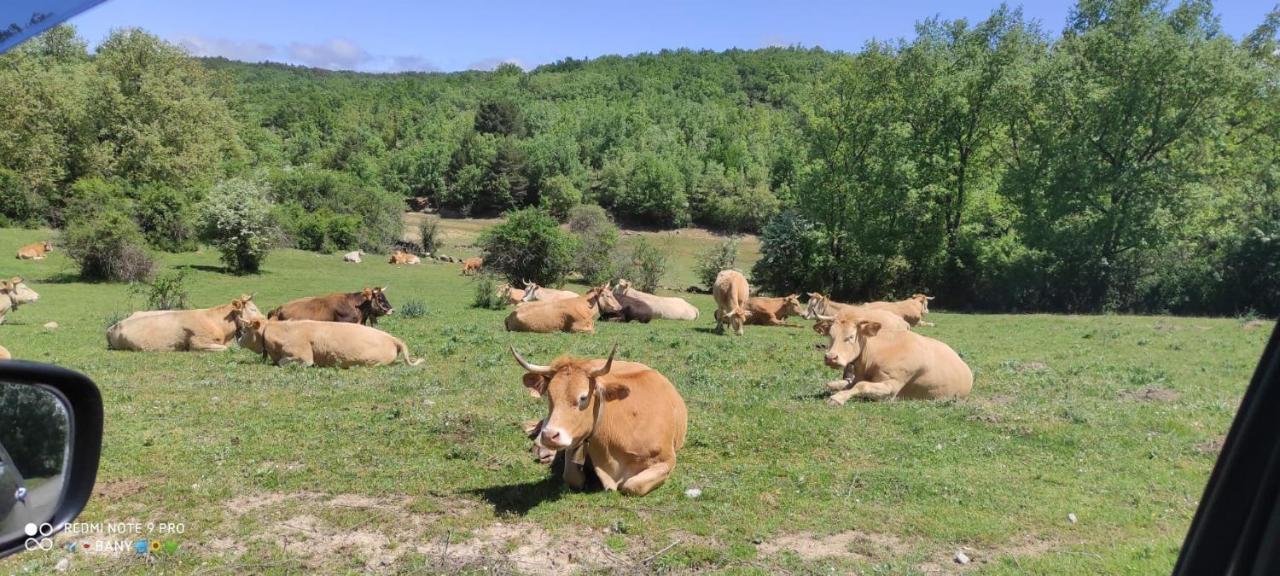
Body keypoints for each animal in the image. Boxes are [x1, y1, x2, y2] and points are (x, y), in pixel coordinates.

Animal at [512, 343, 686, 496]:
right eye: (549, 395)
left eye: (583, 397)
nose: (549, 436)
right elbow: (571, 476)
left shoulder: (667, 460)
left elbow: (632, 486)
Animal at [814, 308, 972, 401]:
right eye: (830, 335)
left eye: (851, 336)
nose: (830, 357)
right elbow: (847, 384)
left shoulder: (893, 385)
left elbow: (861, 385)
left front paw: (838, 398)